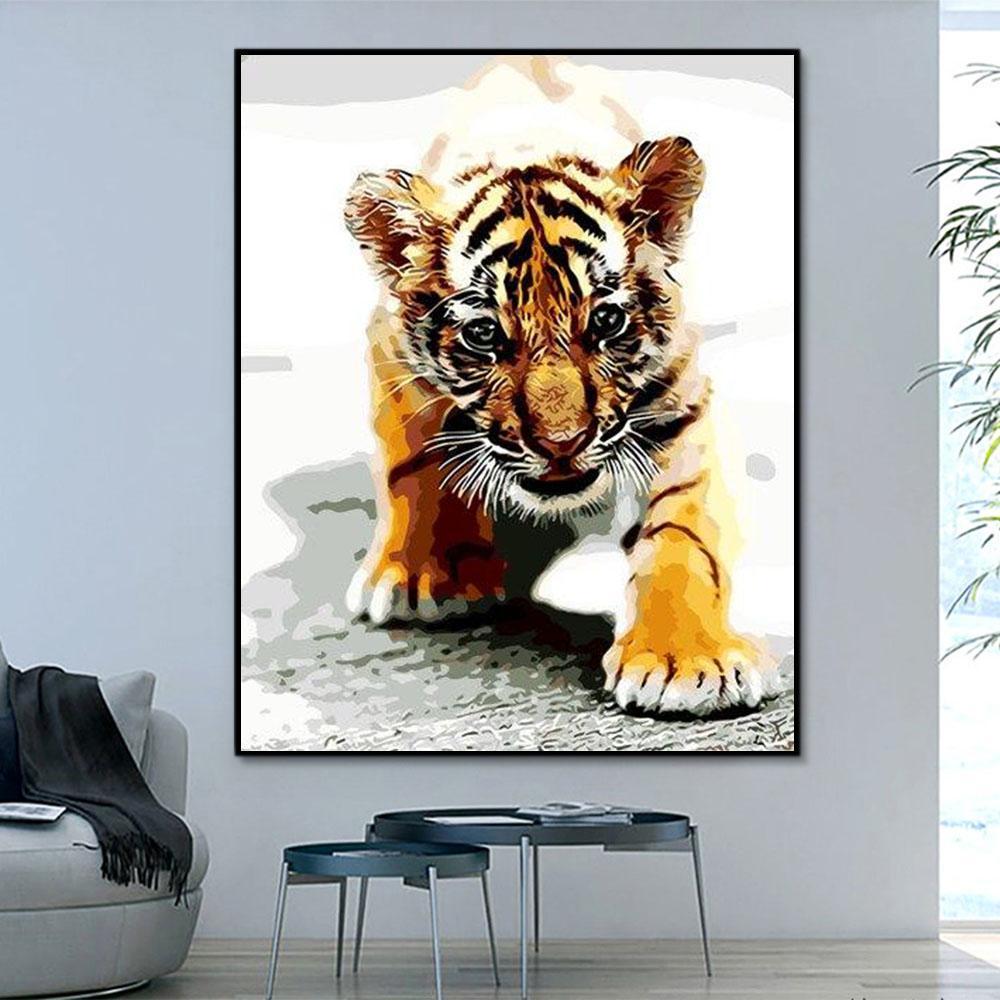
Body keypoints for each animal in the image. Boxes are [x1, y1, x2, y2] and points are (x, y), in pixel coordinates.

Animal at [342, 61, 783, 717]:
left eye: (605, 322)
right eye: (483, 334)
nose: (561, 444)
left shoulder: (677, 406)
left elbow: (683, 535)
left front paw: (687, 661)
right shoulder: (391, 349)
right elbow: (416, 466)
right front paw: (426, 575)